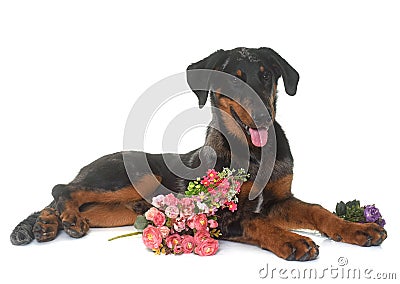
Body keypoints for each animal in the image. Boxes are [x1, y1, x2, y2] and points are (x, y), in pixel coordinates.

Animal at [10, 47, 384, 260]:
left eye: (267, 77)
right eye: (234, 81)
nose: (264, 116)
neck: (252, 153)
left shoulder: (280, 200)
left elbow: (317, 210)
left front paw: (358, 229)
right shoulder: (219, 213)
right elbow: (255, 220)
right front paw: (292, 240)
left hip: (117, 211)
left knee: (66, 199)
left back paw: (48, 224)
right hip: (131, 177)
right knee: (62, 188)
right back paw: (65, 219)